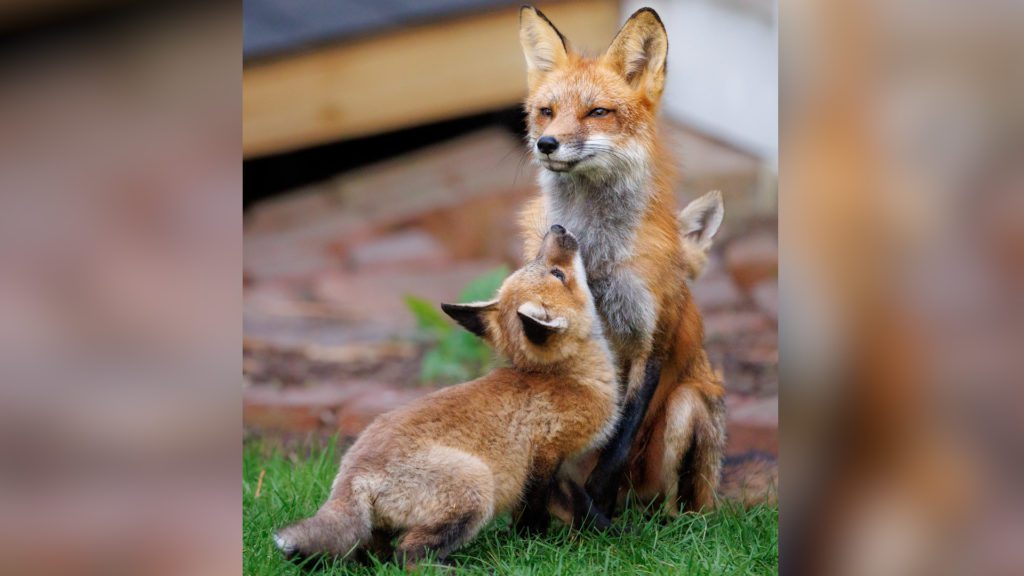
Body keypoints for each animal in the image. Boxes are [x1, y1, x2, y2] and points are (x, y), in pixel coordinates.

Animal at [273, 225, 620, 567]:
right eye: (558, 274)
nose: (557, 228)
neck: (567, 377)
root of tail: (351, 475)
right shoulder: (544, 458)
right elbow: (533, 517)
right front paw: (533, 547)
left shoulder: (561, 467)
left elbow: (586, 512)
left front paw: (616, 537)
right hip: (477, 488)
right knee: (407, 557)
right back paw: (455, 566)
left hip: (384, 528)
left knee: (373, 556)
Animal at [516, 5, 727, 520]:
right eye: (546, 111)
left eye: (597, 112)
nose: (546, 143)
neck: (594, 253)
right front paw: (539, 526)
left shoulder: (649, 340)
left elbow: (615, 444)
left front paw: (597, 516)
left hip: (685, 409)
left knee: (666, 503)